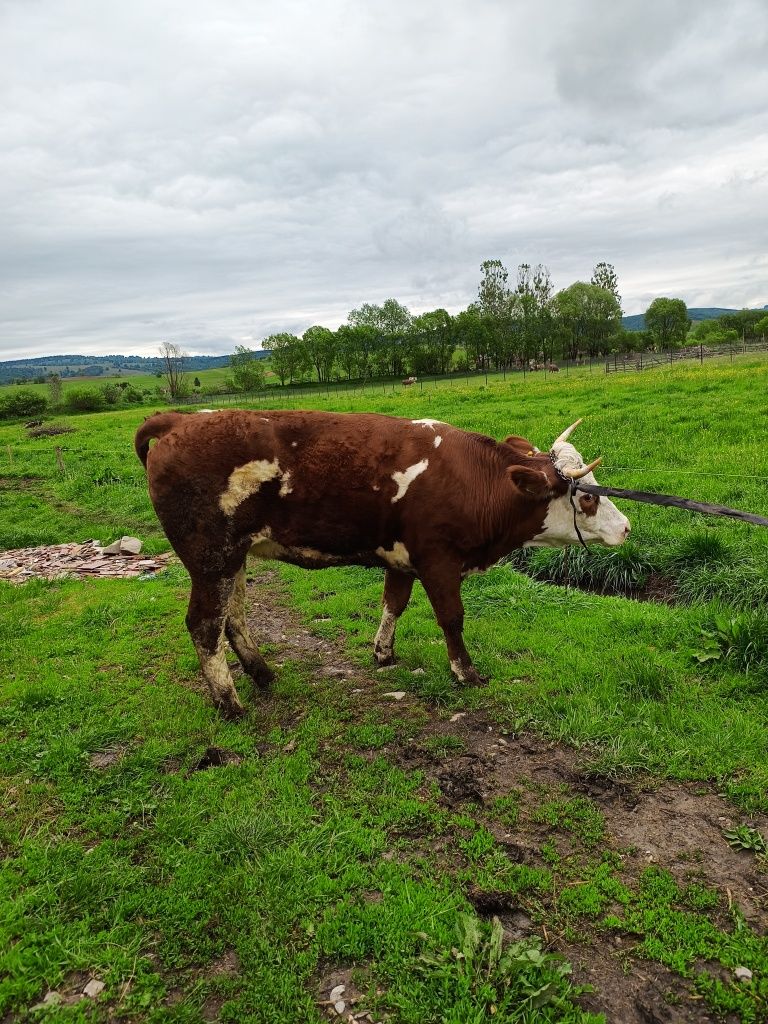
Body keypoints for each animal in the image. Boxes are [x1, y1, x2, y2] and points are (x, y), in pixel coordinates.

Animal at [137, 409, 630, 720]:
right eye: (587, 498)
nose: (626, 528)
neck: (472, 480)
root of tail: (184, 419)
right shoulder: (438, 559)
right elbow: (452, 618)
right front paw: (465, 672)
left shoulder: (402, 558)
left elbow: (394, 603)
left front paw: (384, 653)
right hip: (210, 557)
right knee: (205, 624)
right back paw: (229, 703)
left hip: (233, 557)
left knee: (233, 618)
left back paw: (262, 674)